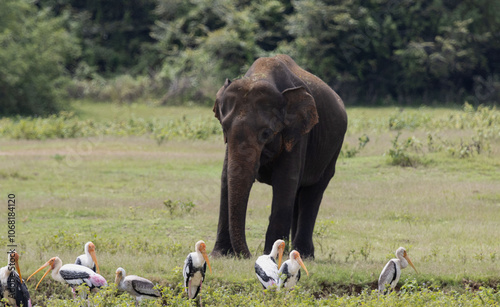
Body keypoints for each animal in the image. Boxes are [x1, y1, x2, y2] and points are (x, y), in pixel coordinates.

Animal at [211, 54, 348, 258]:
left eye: (266, 133)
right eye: (224, 129)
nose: (247, 255)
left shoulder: (297, 133)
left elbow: (285, 181)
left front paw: (271, 255)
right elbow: (225, 177)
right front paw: (219, 255)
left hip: (332, 151)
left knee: (312, 193)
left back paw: (303, 254)